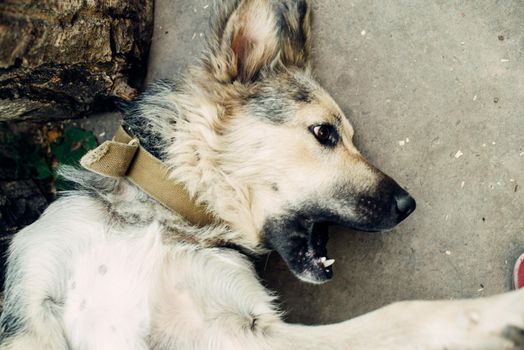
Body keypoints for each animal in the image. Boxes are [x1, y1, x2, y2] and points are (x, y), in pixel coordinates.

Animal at [1, 0, 524, 348]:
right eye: (325, 133)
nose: (408, 204)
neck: (167, 220)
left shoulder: (248, 329)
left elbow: (402, 314)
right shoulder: (26, 308)